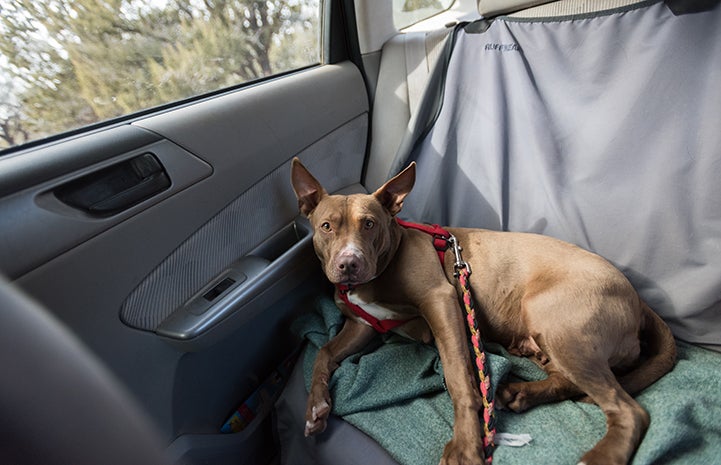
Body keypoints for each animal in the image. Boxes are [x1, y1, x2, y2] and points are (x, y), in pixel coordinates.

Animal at [288, 157, 676, 464]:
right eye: (326, 227)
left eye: (369, 223)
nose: (348, 264)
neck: (384, 264)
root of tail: (638, 299)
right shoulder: (363, 325)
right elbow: (324, 353)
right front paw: (315, 407)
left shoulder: (441, 301)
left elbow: (459, 376)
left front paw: (465, 445)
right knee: (571, 380)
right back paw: (519, 392)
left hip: (556, 322)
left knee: (628, 408)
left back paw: (599, 455)